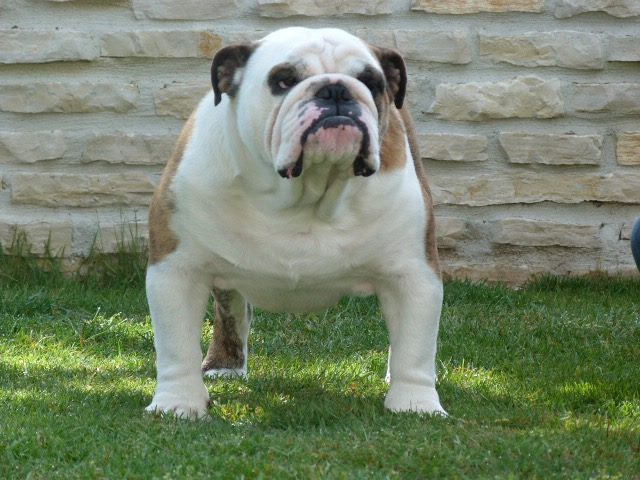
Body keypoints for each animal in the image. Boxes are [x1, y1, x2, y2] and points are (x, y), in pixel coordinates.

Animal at [145, 27, 445, 419]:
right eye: (283, 81)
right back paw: (225, 365)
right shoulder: (176, 268)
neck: (307, 193)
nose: (335, 90)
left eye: (371, 82)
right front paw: (177, 403)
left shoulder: (413, 273)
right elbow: (176, 345)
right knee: (231, 310)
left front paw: (415, 403)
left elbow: (415, 344)